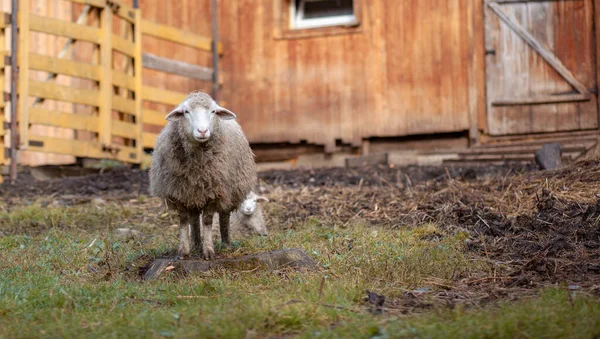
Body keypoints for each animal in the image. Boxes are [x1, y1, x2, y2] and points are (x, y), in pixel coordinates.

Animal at [149, 91, 255, 258]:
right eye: (186, 112)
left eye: (213, 111)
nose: (202, 131)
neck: (197, 166)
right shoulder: (178, 193)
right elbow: (184, 220)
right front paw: (183, 251)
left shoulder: (214, 192)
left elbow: (207, 220)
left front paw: (209, 251)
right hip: (192, 193)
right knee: (193, 218)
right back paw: (196, 244)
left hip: (230, 190)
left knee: (224, 216)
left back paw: (225, 244)